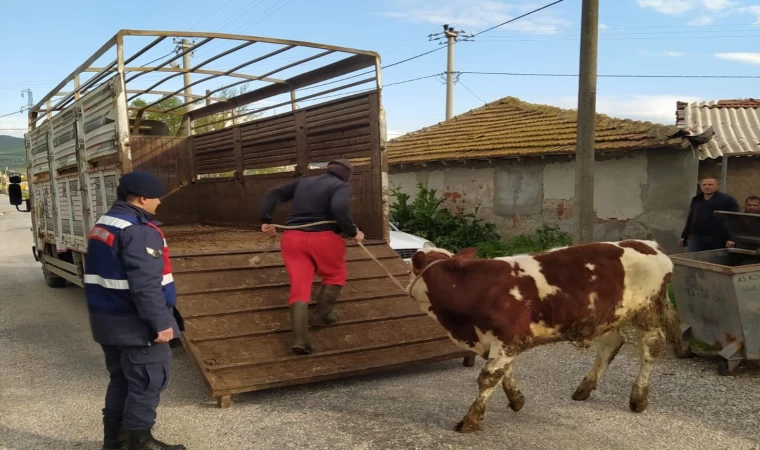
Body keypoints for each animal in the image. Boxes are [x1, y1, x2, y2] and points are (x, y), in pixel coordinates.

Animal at [410, 239, 676, 432]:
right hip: (604, 316)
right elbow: (503, 372)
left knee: (651, 345)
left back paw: (638, 397)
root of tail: (650, 245)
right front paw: (516, 399)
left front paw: (471, 420)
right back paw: (584, 388)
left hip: (646, 309)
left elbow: (488, 377)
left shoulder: (510, 336)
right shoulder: (493, 340)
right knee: (612, 343)